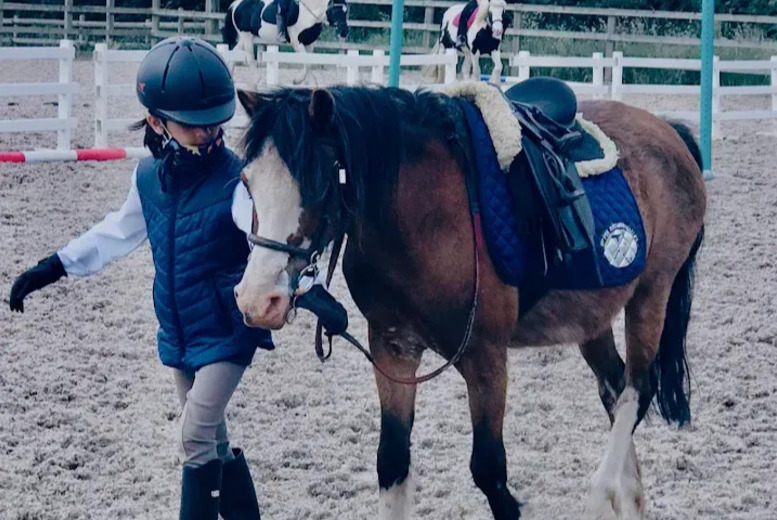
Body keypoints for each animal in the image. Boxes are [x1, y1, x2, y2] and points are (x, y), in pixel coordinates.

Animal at [232, 84, 706, 519]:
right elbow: (392, 461)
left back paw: (602, 492)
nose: (257, 300)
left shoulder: (485, 359)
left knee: (637, 390)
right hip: (592, 318)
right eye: (247, 181)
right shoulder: (392, 349)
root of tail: (670, 131)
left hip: (651, 294)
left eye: (319, 183)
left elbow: (490, 472)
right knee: (614, 388)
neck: (423, 219)